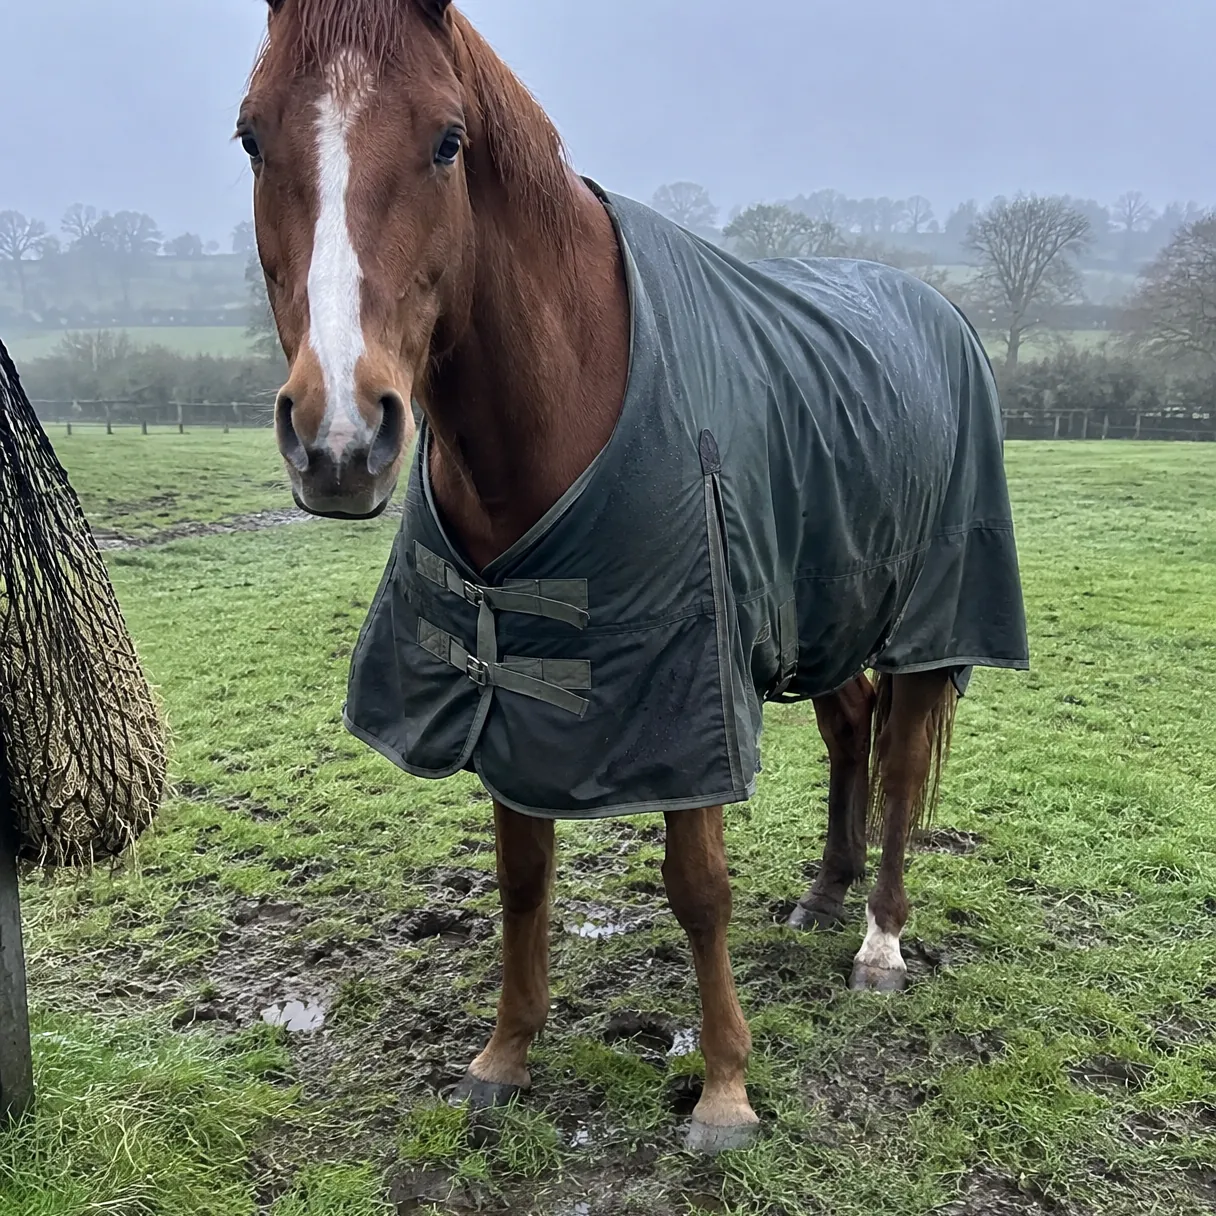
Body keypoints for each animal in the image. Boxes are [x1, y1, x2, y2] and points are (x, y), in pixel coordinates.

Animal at [239, 0, 1029, 1153]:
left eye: (447, 141)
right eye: (254, 137)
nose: (339, 437)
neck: (567, 395)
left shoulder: (684, 698)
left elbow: (698, 886)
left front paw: (724, 1089)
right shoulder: (508, 690)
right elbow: (523, 877)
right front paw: (505, 1054)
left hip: (931, 619)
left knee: (900, 760)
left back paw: (878, 938)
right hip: (821, 607)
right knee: (852, 729)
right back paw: (824, 894)